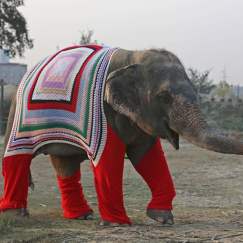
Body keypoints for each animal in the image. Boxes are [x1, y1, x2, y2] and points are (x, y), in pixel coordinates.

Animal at [0, 47, 242, 226]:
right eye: (164, 97)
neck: (134, 56)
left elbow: (149, 158)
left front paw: (163, 218)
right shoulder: (104, 111)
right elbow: (108, 157)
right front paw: (117, 223)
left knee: (65, 164)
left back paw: (81, 216)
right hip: (19, 115)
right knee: (17, 156)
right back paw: (15, 215)